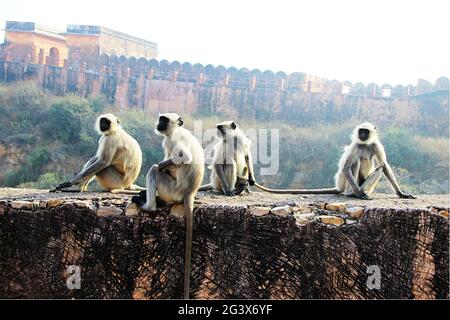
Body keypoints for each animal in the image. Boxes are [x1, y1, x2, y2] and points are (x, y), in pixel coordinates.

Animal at [132, 112, 206, 300]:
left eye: (164, 120)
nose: (158, 124)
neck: (175, 130)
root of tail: (189, 193)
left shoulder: (172, 139)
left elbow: (184, 158)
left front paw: (162, 164)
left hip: (172, 189)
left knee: (155, 170)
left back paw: (149, 205)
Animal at [255, 122, 416, 200]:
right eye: (361, 131)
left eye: (366, 131)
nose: (362, 134)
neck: (364, 144)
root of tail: (339, 187)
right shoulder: (355, 145)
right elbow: (345, 167)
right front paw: (359, 193)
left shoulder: (376, 145)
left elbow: (384, 165)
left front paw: (401, 193)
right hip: (345, 182)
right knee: (354, 163)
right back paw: (353, 193)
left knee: (379, 168)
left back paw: (362, 191)